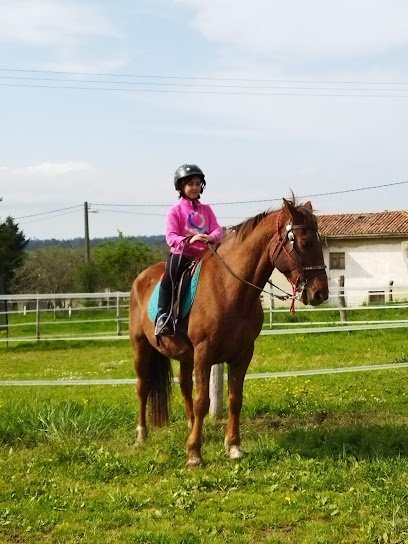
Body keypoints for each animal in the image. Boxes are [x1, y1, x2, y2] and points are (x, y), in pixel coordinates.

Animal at [129, 199, 330, 468]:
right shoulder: (204, 353)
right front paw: (194, 454)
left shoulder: (242, 354)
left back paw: (191, 427)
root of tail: (141, 278)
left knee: (184, 387)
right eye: (305, 242)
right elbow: (203, 401)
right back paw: (142, 435)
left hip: (185, 355)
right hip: (141, 346)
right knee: (143, 386)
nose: (320, 293)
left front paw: (233, 446)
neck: (229, 288)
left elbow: (235, 398)